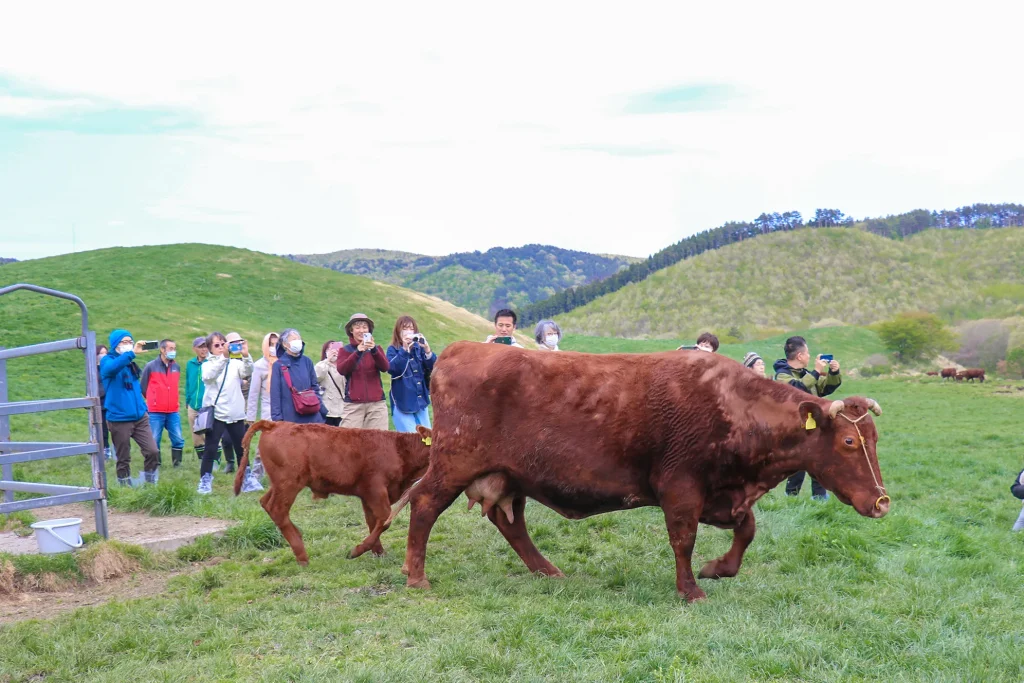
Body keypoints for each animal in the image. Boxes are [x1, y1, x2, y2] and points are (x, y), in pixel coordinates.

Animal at [235, 421, 432, 565]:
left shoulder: (367, 496)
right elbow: (384, 519)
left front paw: (378, 552)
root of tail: (274, 424)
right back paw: (302, 555)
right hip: (288, 484)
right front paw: (357, 550)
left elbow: (373, 521)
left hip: (279, 485)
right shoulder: (375, 489)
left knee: (266, 503)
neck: (399, 450)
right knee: (277, 510)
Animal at [391, 344, 888, 602]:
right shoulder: (681, 487)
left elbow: (746, 531)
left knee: (510, 524)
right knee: (424, 505)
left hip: (509, 478)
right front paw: (690, 589)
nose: (882, 501)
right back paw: (416, 576)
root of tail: (462, 349)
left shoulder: (724, 495)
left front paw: (717, 569)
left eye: (875, 438)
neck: (734, 406)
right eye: (848, 443)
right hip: (454, 464)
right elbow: (683, 539)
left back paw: (548, 571)